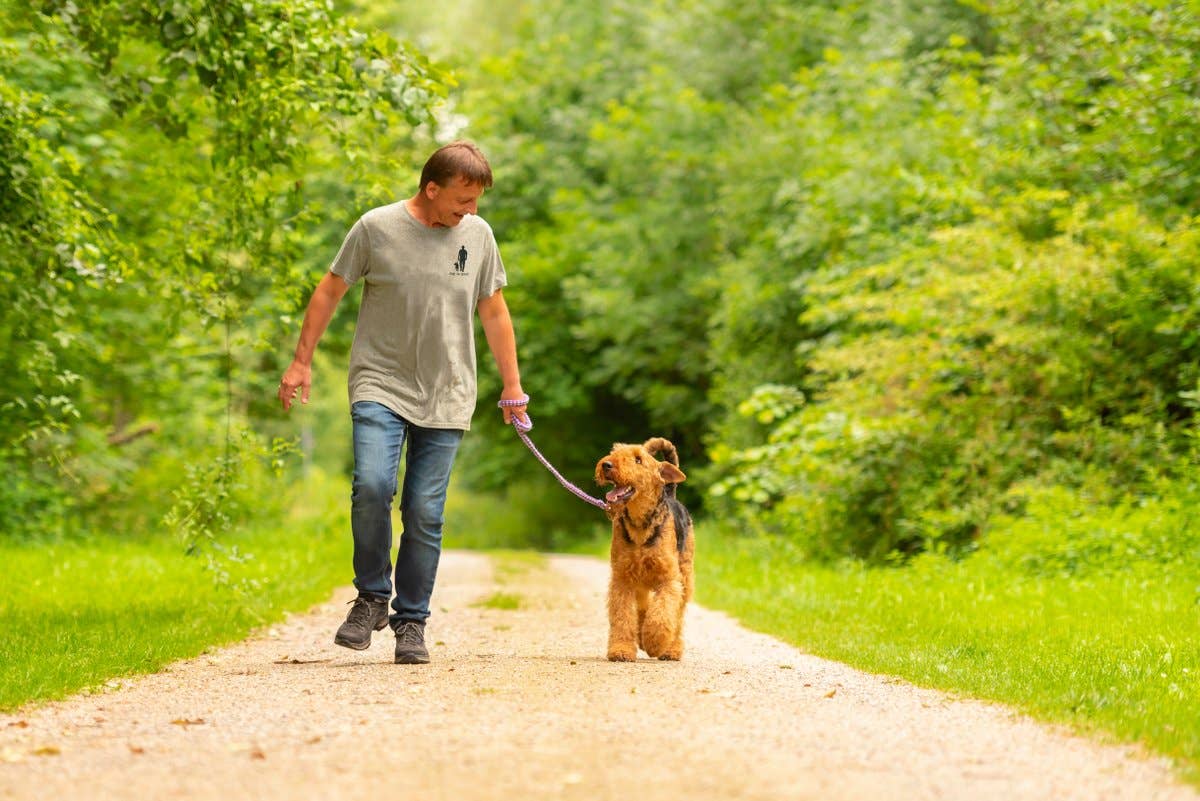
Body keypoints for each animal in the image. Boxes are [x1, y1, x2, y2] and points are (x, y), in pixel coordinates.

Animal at [597, 434, 696, 661]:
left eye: (638, 460)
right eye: (614, 452)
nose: (606, 465)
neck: (640, 525)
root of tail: (671, 493)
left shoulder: (669, 579)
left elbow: (663, 614)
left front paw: (655, 643)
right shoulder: (622, 578)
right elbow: (623, 616)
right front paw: (621, 650)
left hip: (685, 576)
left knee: (677, 616)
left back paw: (671, 649)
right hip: (641, 582)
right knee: (643, 608)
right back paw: (641, 637)